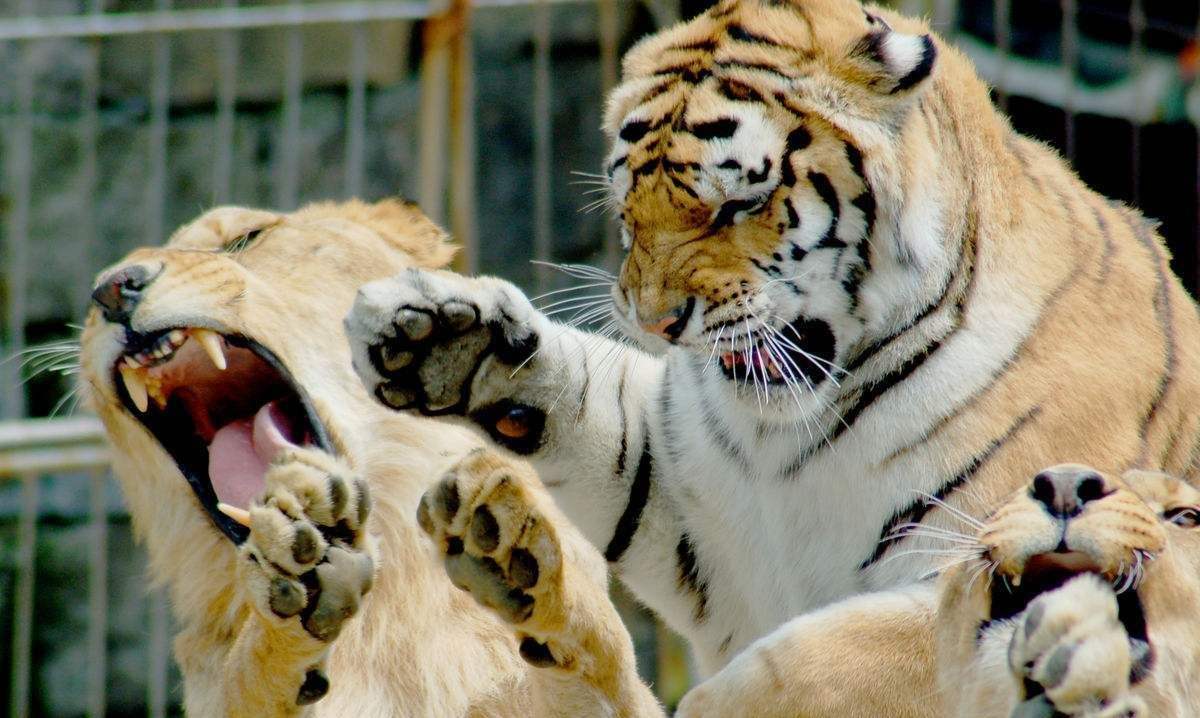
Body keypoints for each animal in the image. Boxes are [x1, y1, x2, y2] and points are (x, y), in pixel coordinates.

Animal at [77, 199, 657, 715]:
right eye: (92, 302)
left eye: (245, 239)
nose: (112, 289)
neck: (381, 613)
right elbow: (245, 679)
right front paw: (299, 574)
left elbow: (603, 655)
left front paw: (511, 540)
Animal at [343, 0, 1200, 691]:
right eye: (627, 207)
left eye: (737, 206)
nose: (655, 320)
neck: (795, 436)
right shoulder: (704, 528)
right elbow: (599, 414)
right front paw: (444, 339)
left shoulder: (996, 561)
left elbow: (813, 658)